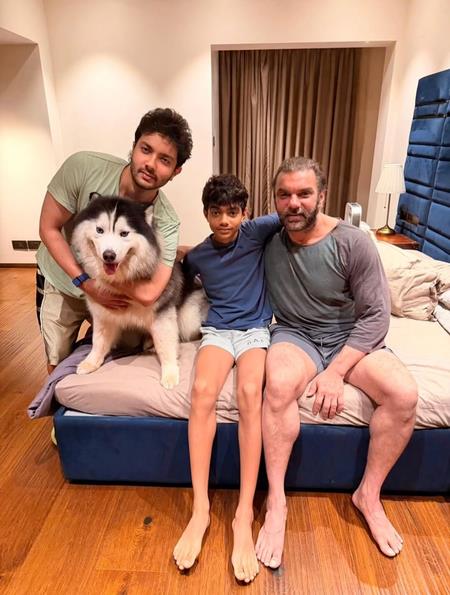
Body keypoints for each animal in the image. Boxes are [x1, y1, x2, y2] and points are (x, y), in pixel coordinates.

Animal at [70, 195, 207, 388]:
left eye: (124, 233)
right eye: (99, 230)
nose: (108, 255)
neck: (122, 279)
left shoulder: (162, 315)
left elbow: (166, 347)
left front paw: (170, 374)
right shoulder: (103, 315)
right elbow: (98, 341)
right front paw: (90, 362)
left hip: (188, 319)